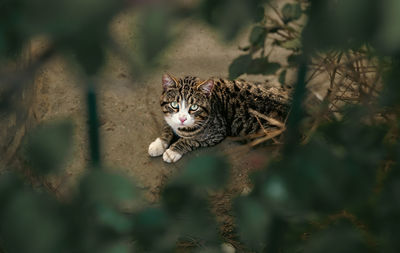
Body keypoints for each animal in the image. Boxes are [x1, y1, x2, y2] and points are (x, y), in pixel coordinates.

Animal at [148, 74, 290, 163]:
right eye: (174, 104)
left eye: (194, 107)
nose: (182, 119)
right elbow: (167, 127)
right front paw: (159, 144)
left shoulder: (217, 132)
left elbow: (191, 139)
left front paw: (172, 151)